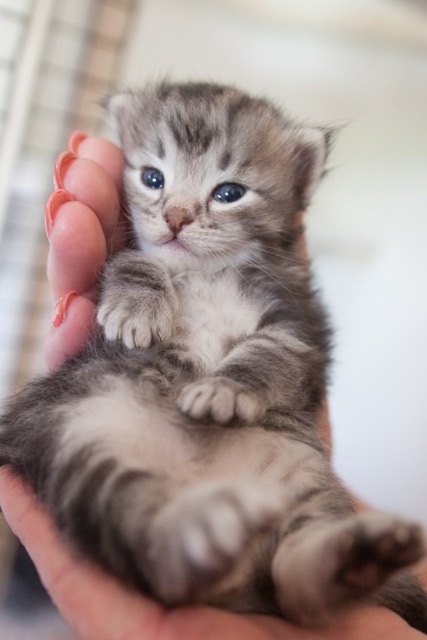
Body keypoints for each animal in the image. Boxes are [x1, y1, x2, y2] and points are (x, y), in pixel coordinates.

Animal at [0, 81, 427, 632]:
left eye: (228, 193)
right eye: (153, 178)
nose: (176, 218)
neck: (208, 271)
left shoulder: (297, 325)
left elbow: (266, 356)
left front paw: (224, 390)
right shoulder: (137, 258)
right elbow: (133, 260)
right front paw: (136, 308)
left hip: (306, 479)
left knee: (298, 587)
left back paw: (358, 555)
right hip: (76, 445)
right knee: (155, 551)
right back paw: (210, 530)